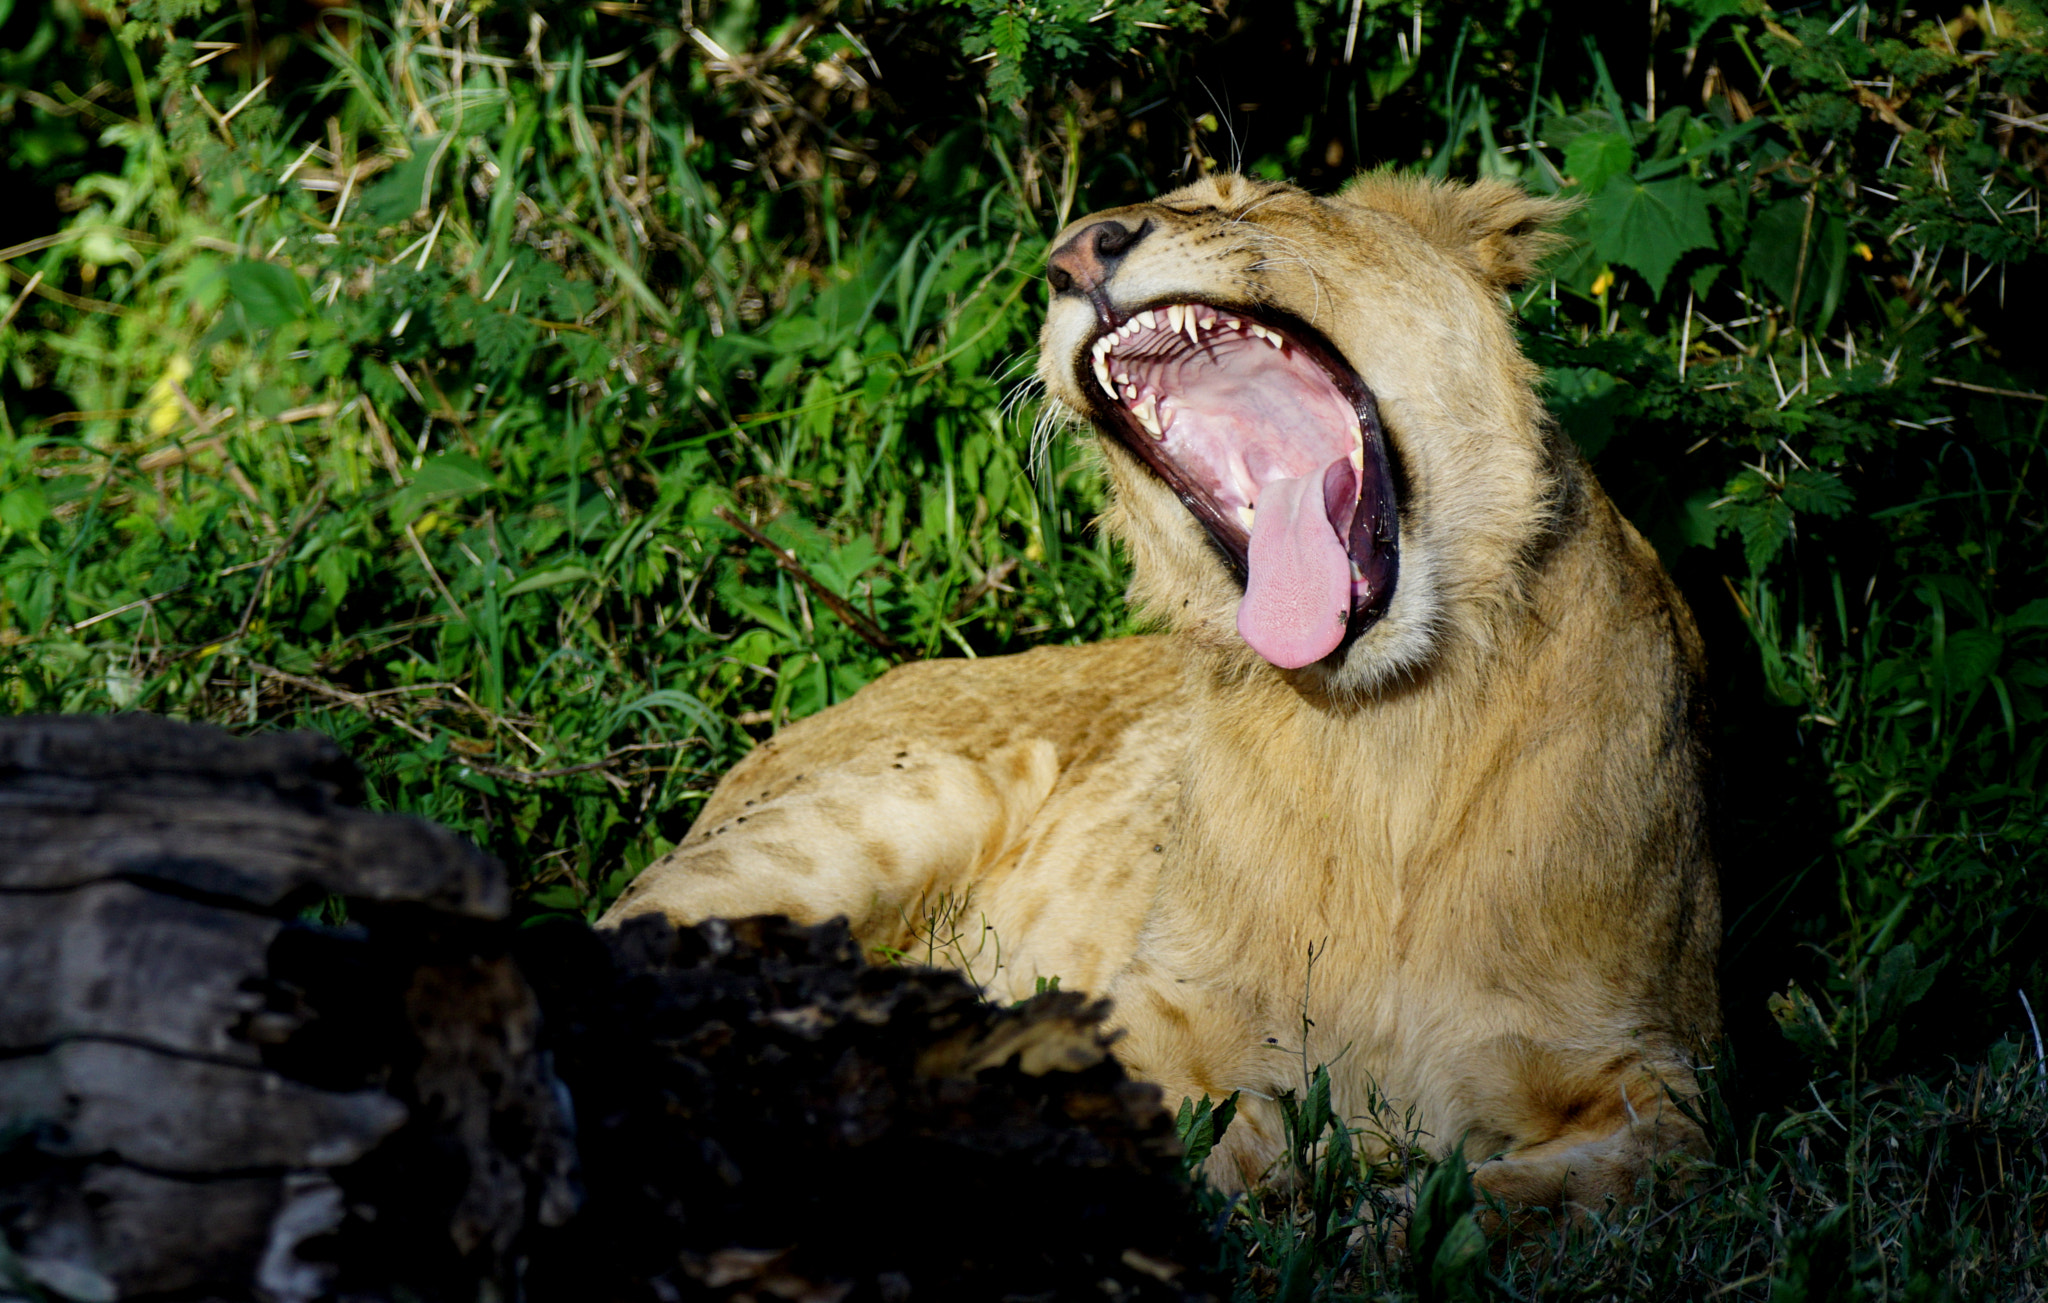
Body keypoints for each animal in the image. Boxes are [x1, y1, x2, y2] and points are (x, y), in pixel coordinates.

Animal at [598, 167, 1720, 1212]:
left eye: (1254, 196)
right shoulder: (1143, 1022)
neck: (1382, 745)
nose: (1074, 255)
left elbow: (1498, 1203)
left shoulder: (1660, 1090)